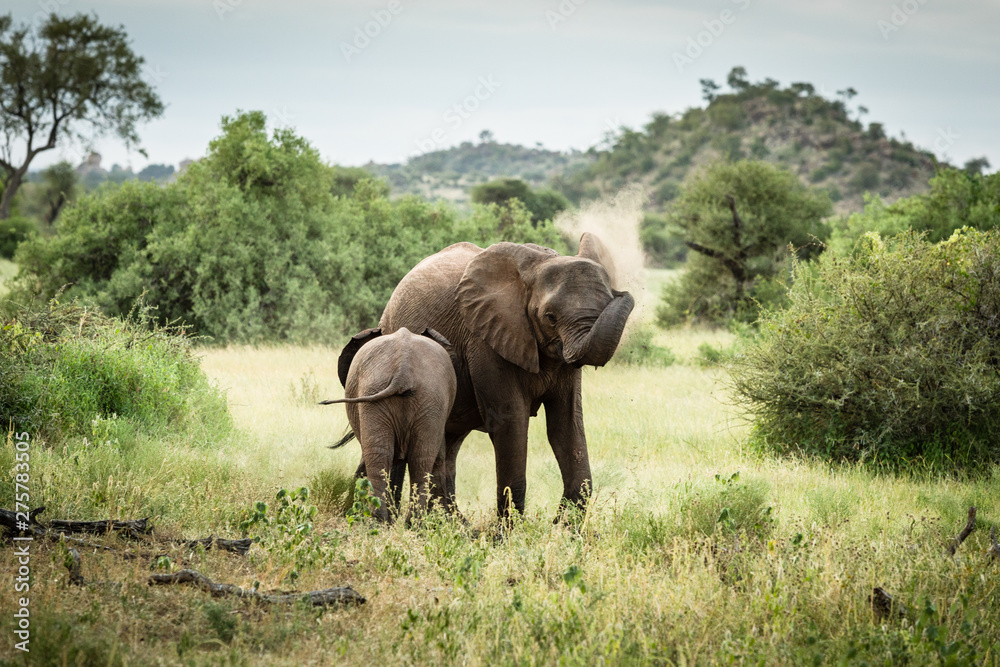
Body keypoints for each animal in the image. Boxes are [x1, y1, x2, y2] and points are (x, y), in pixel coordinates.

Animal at [321, 326, 457, 522]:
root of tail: (403, 370)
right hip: (418, 397)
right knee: (411, 458)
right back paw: (400, 522)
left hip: (421, 398)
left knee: (402, 457)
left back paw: (390, 521)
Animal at [378, 233, 634, 518]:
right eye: (550, 317)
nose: (623, 292)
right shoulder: (485, 339)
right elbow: (511, 423)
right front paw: (509, 530)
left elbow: (566, 424)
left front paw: (565, 526)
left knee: (449, 440)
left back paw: (453, 522)